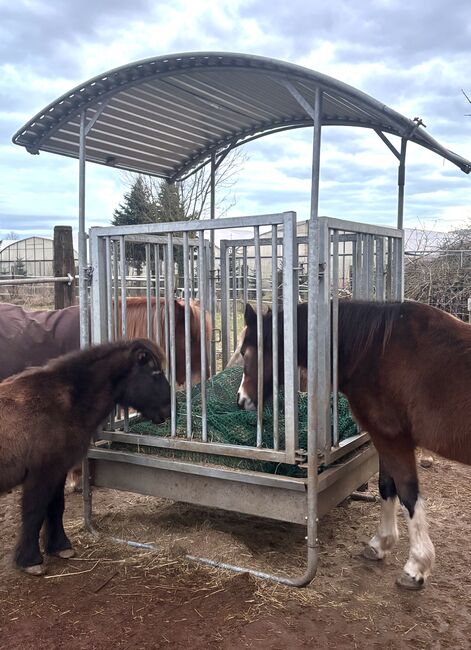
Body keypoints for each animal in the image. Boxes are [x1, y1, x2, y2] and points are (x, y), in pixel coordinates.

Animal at [0, 336, 170, 576]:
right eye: (155, 372)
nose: (167, 411)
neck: (63, 401)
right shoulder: (41, 473)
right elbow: (34, 512)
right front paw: (30, 560)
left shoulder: (58, 470)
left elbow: (56, 507)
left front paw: (60, 546)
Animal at [240, 302, 471, 588]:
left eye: (246, 353)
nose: (241, 400)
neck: (375, 351)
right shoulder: (383, 440)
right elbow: (387, 486)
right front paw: (381, 544)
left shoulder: (393, 439)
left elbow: (408, 494)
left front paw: (416, 567)